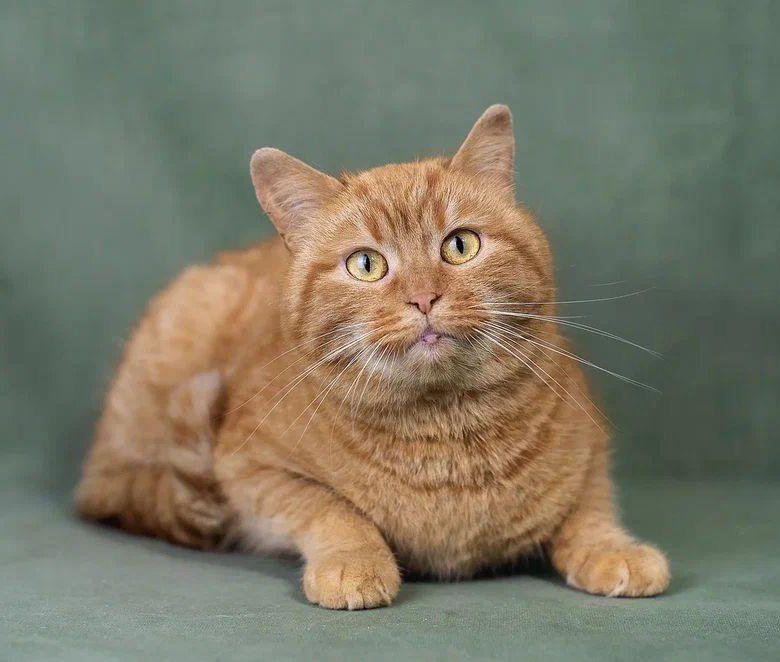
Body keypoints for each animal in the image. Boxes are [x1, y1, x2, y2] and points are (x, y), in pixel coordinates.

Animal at [76, 105, 670, 609]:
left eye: (460, 245)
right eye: (367, 264)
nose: (424, 297)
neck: (446, 434)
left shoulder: (589, 448)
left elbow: (589, 509)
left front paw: (614, 549)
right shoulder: (249, 467)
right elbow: (331, 510)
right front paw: (355, 562)